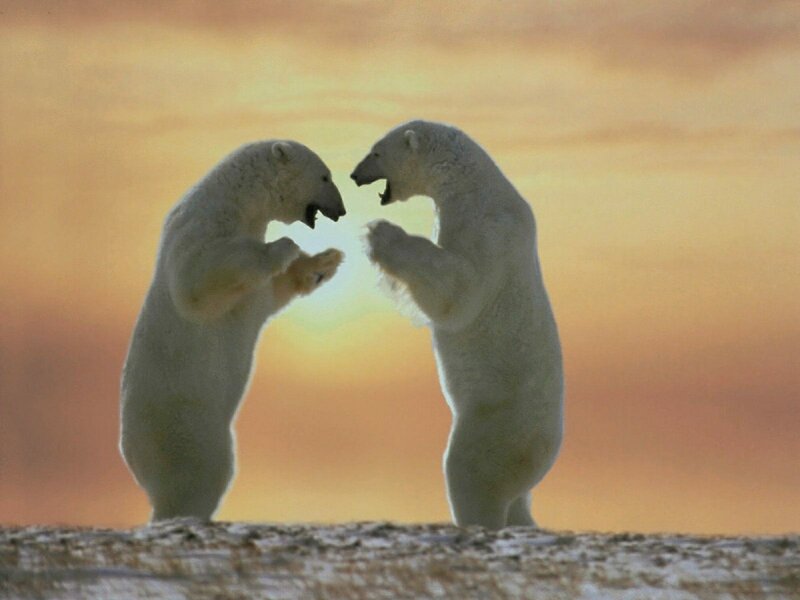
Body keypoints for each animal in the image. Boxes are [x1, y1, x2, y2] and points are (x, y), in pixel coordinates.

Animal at [120, 140, 346, 522]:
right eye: (325, 176)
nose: (342, 211)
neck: (237, 200)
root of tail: (133, 456)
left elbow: (271, 292)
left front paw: (325, 261)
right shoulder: (201, 226)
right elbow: (197, 280)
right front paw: (284, 246)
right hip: (186, 428)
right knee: (201, 477)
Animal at [351, 120, 563, 529]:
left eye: (376, 152)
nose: (354, 176)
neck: (476, 187)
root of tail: (549, 450)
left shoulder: (488, 230)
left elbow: (461, 291)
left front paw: (380, 233)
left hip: (498, 426)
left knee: (471, 473)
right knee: (518, 501)